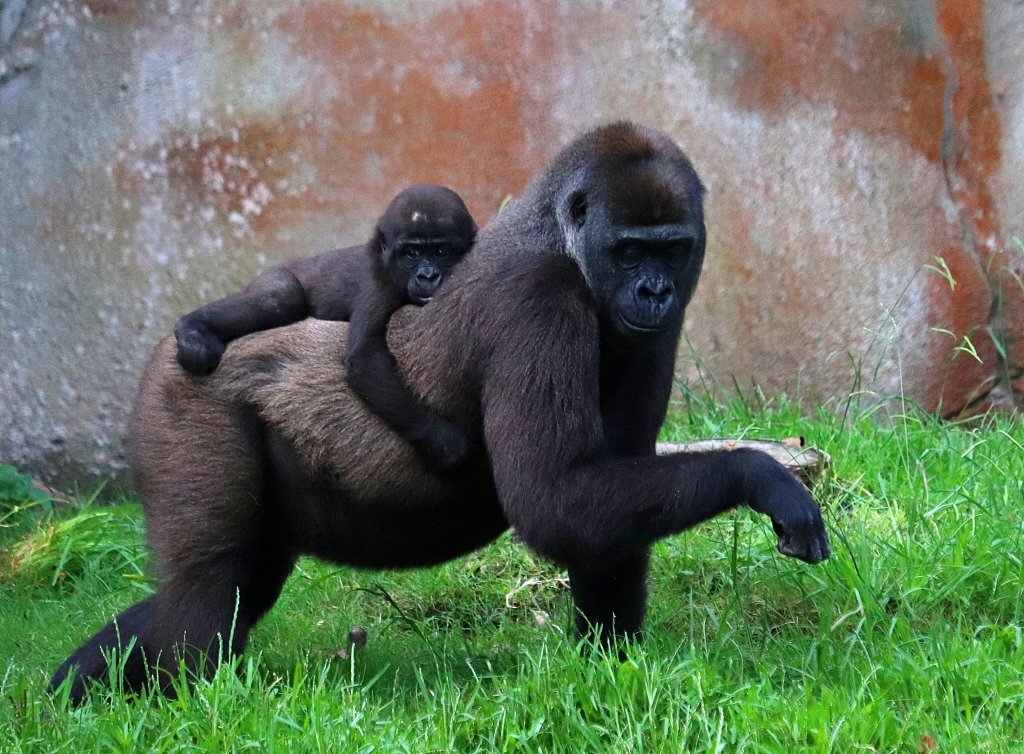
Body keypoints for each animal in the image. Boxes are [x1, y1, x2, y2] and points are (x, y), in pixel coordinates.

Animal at [175, 185, 475, 469]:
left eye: (441, 252)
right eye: (411, 253)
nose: (428, 276)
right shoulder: (381, 284)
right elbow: (364, 355)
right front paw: (441, 440)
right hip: (272, 276)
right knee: (281, 296)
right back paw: (192, 330)